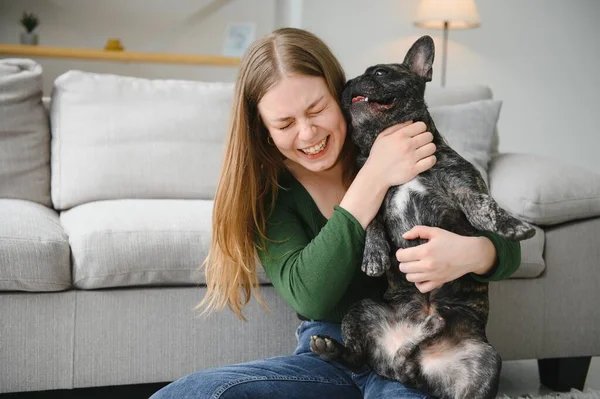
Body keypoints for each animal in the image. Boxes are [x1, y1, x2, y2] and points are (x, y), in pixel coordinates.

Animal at [310, 35, 536, 399]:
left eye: (381, 72)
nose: (349, 83)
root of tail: (407, 360)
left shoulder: (465, 188)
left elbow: (485, 206)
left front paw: (513, 225)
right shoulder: (370, 191)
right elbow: (371, 222)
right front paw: (374, 256)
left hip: (486, 361)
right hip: (361, 309)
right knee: (357, 357)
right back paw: (330, 347)